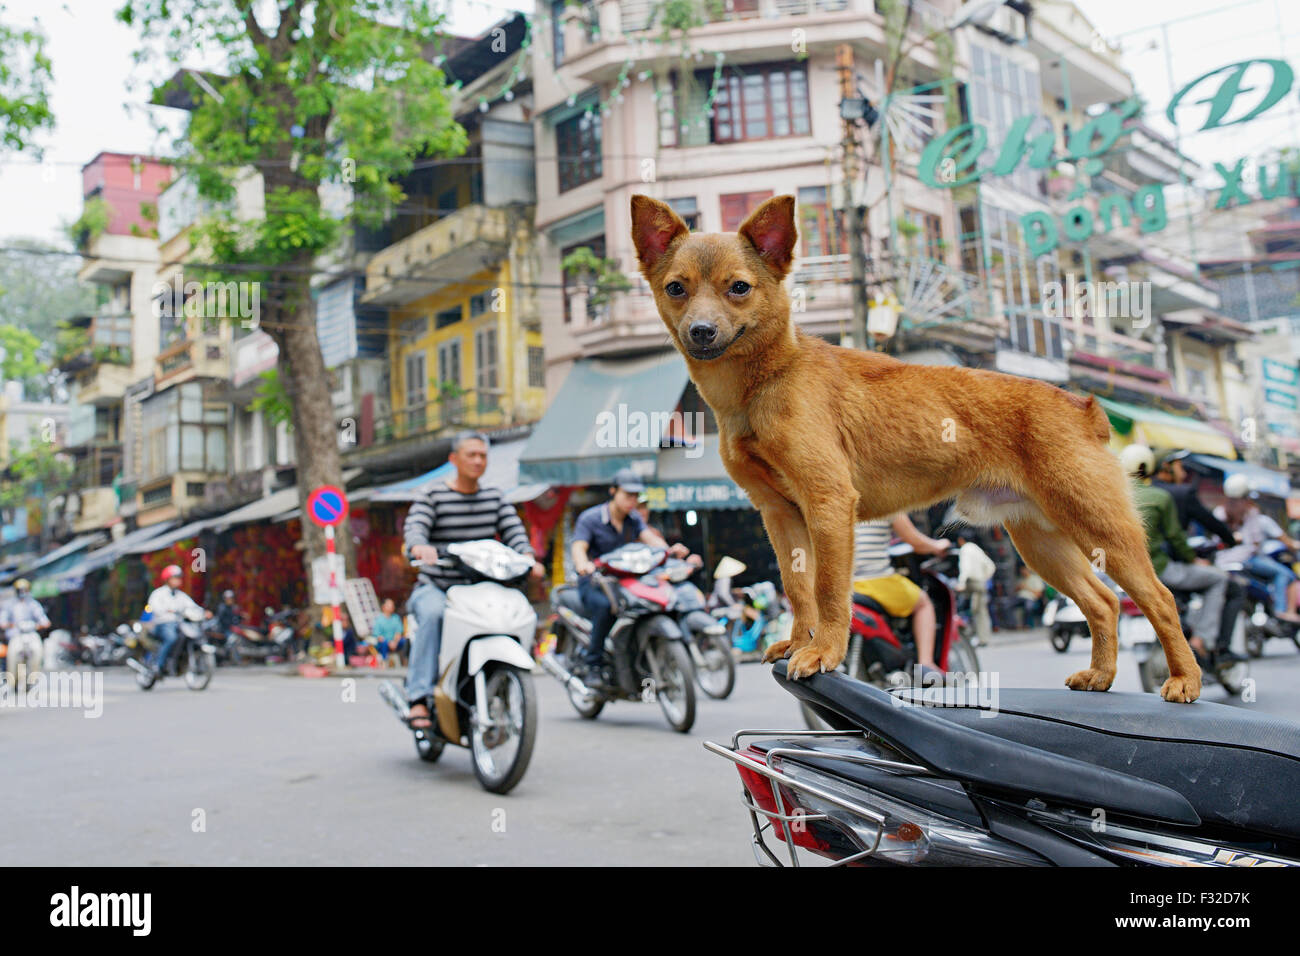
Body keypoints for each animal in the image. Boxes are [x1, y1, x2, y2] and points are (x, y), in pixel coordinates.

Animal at [629, 195, 1206, 702]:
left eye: (739, 288)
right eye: (676, 288)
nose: (701, 331)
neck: (763, 382)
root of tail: (1082, 406)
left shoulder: (828, 503)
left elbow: (829, 591)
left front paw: (824, 653)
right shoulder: (780, 514)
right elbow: (797, 589)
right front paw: (798, 642)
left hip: (1099, 526)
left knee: (1160, 600)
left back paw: (1184, 682)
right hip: (1040, 542)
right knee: (1103, 603)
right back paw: (1101, 676)